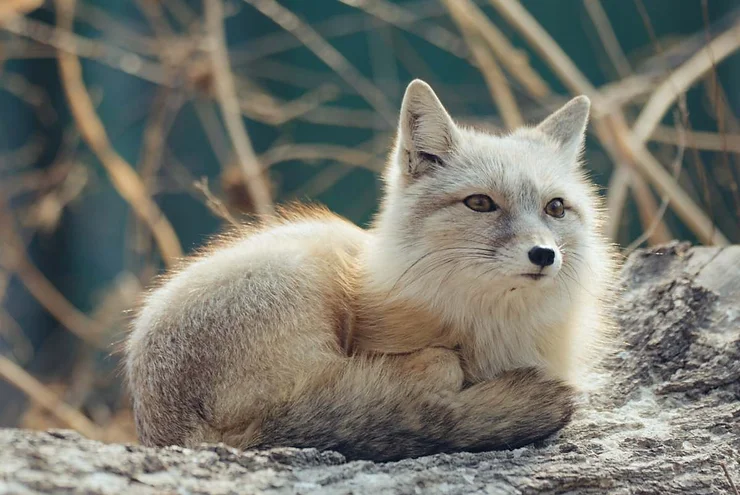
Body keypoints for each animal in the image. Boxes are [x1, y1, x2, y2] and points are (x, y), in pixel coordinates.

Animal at [124, 79, 616, 464]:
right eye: (480, 203)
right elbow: (442, 362)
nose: (544, 254)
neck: (500, 331)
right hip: (307, 271)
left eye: (556, 208)